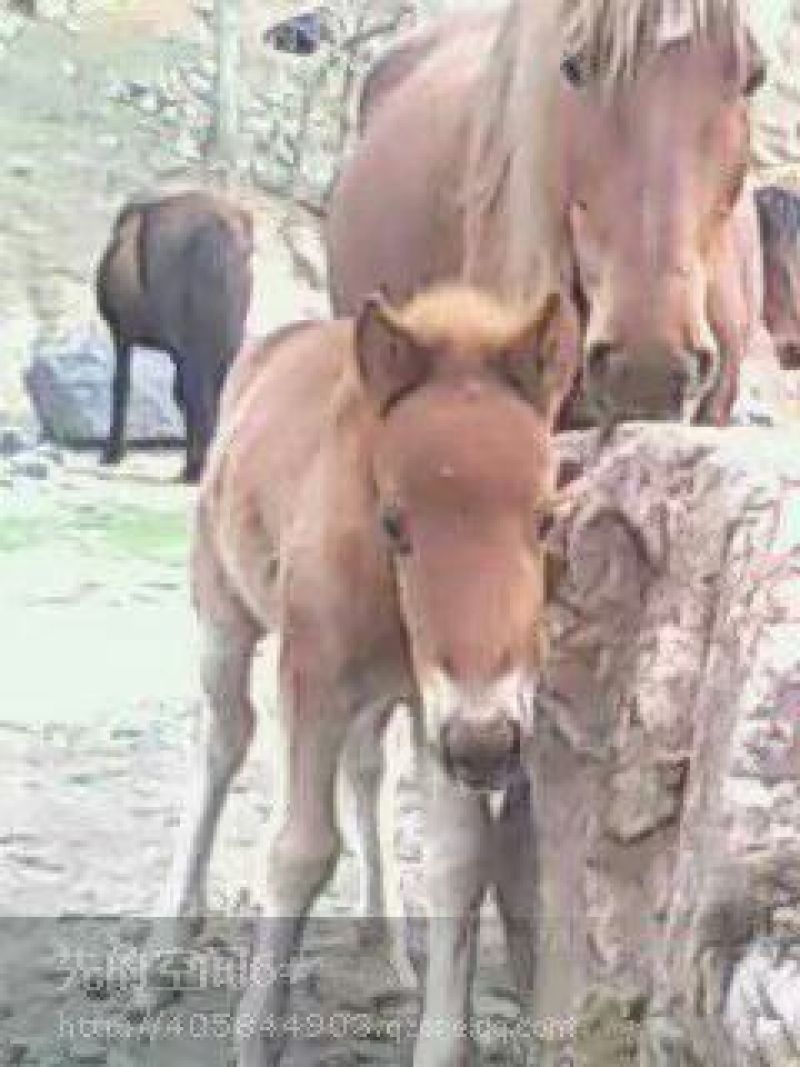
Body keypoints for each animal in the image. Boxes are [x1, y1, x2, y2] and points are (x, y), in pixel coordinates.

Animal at [95, 191, 253, 482]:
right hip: (228, 336)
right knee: (209, 392)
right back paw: (199, 466)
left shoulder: (121, 332)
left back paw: (194, 469)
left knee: (193, 393)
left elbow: (121, 383)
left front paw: (112, 454)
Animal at [179, 284, 578, 1065]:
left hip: (385, 700)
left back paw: (385, 948)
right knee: (223, 743)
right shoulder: (315, 676)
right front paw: (256, 1034)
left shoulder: (438, 708)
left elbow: (459, 863)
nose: (489, 743)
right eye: (395, 522)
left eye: (546, 517)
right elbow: (301, 851)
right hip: (222, 617)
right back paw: (168, 946)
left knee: (367, 770)